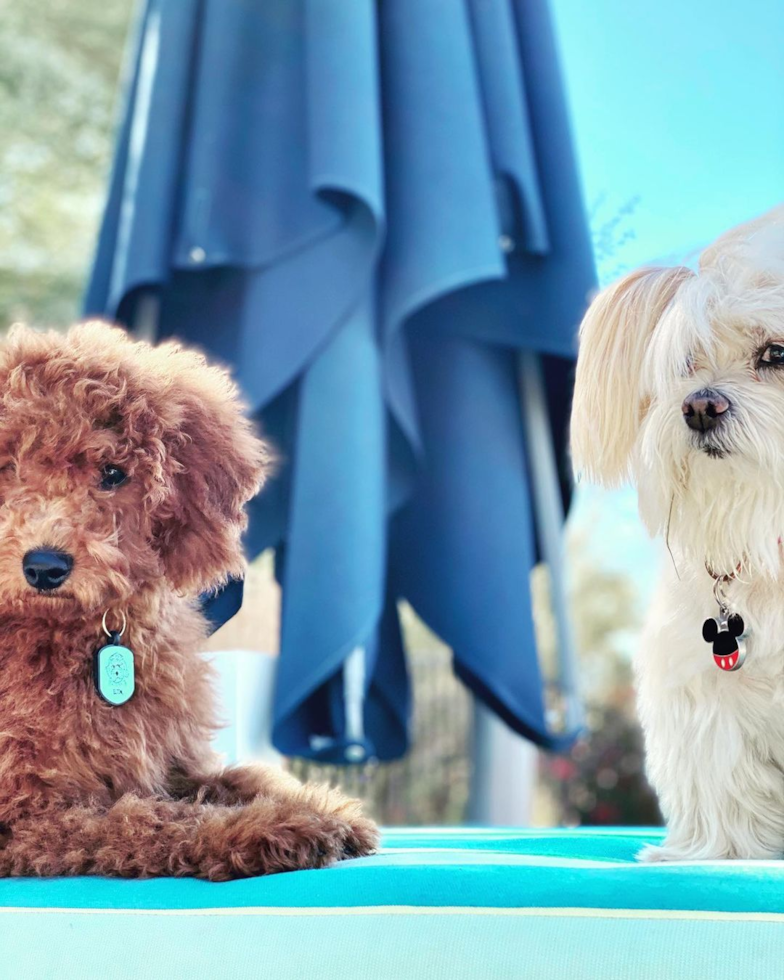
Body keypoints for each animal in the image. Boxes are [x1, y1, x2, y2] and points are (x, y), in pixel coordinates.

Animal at [0, 322, 376, 880]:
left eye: (112, 473)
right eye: (7, 468)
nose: (44, 567)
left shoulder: (173, 761)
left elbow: (239, 778)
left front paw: (320, 805)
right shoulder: (29, 816)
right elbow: (146, 821)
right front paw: (273, 827)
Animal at [568, 205, 784, 856]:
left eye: (777, 353)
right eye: (686, 363)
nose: (700, 406)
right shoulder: (702, 688)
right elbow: (723, 770)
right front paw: (731, 849)